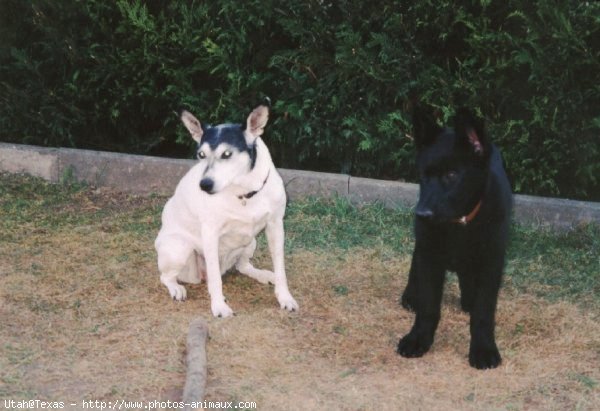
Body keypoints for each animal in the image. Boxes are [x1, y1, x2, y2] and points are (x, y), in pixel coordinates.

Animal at [152, 100, 298, 318]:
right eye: (201, 155)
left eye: (227, 154)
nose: (204, 185)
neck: (244, 191)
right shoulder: (210, 233)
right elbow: (215, 280)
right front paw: (219, 306)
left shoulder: (275, 226)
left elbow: (281, 269)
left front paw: (285, 298)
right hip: (179, 248)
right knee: (166, 277)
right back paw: (176, 288)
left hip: (251, 241)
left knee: (243, 266)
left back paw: (262, 274)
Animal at [398, 106, 510, 370]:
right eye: (423, 176)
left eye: (451, 174)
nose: (422, 214)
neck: (459, 223)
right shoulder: (429, 254)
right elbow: (428, 306)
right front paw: (418, 339)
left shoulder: (491, 261)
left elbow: (483, 312)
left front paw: (483, 349)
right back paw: (411, 294)